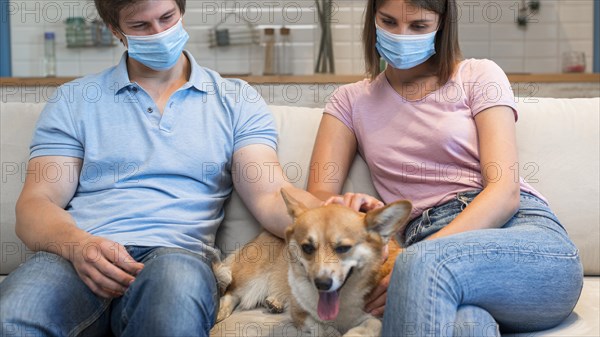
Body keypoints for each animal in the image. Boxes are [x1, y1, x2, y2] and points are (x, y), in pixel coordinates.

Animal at [216, 190, 412, 334]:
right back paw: (220, 311)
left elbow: (370, 326)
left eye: (343, 248)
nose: (322, 284)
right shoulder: (301, 314)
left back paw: (274, 303)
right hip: (249, 278)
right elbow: (323, 328)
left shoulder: (374, 317)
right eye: (307, 248)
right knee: (231, 292)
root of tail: (263, 232)